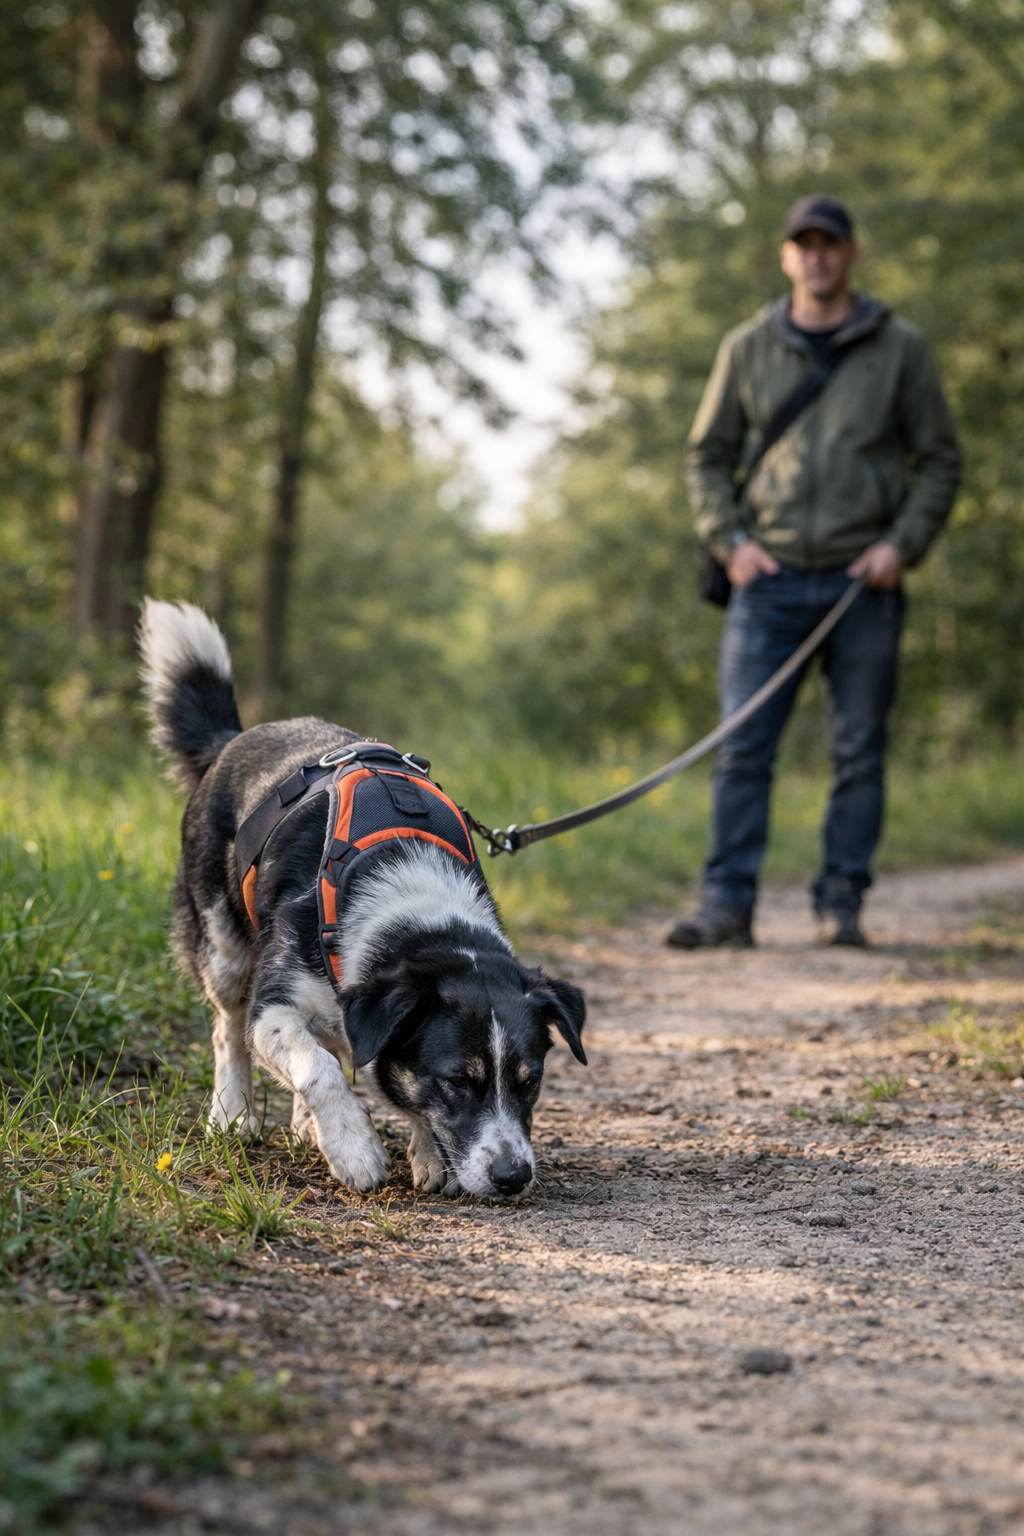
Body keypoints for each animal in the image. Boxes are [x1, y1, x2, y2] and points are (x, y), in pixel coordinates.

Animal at [139, 599, 587, 1198]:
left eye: (530, 1081)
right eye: (456, 1081)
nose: (513, 1177)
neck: (419, 911)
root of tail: (232, 739)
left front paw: (428, 1154)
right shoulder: (274, 1009)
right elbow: (318, 1068)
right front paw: (356, 1148)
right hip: (221, 941)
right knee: (228, 1029)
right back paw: (233, 1113)